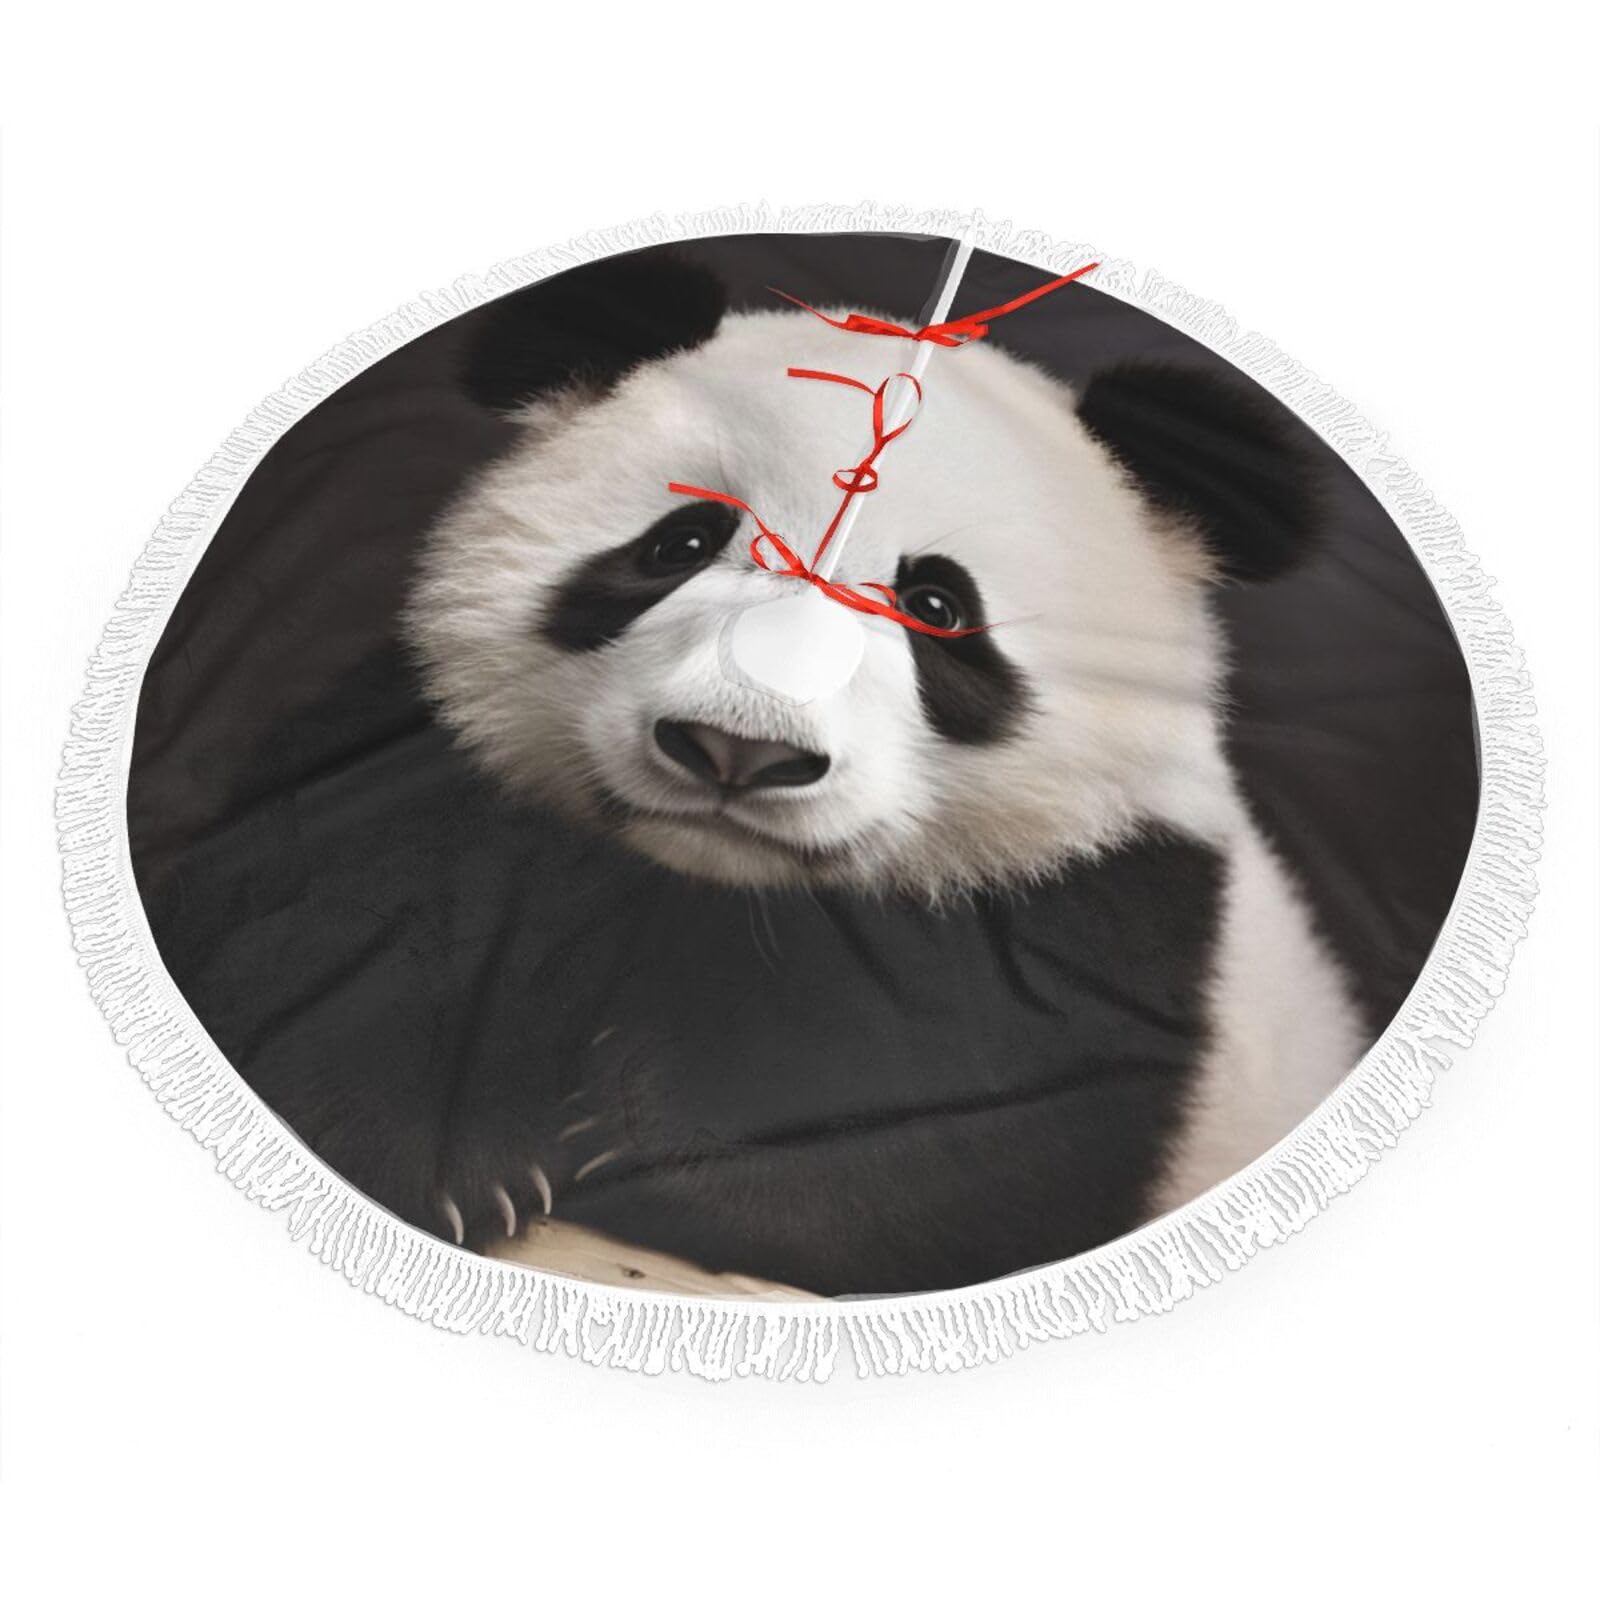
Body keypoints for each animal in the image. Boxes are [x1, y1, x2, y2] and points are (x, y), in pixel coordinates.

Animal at [397, 248, 1366, 1298]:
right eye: (681, 544)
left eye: (936, 605)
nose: (739, 749)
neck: (727, 892)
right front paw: (476, 1162)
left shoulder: (1106, 921)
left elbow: (952, 1170)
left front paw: (632, 1137)